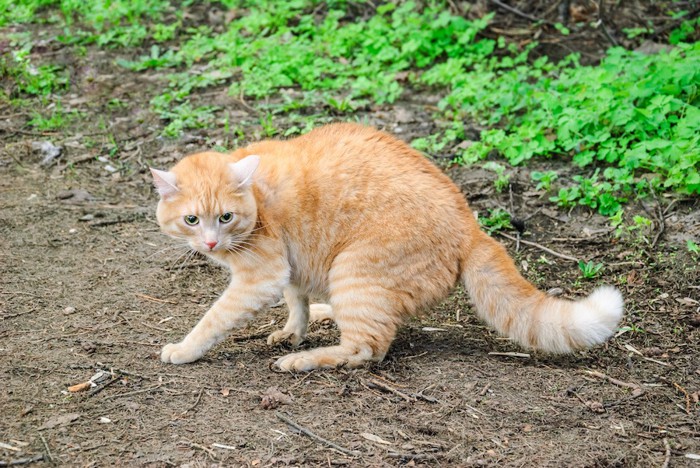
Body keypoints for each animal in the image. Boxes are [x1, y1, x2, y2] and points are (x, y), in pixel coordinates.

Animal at [152, 122, 624, 372]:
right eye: (192, 220)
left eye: (225, 217)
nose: (210, 241)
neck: (260, 202)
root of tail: (470, 223)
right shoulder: (288, 265)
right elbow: (296, 301)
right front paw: (293, 330)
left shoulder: (259, 276)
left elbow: (214, 320)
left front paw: (183, 350)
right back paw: (321, 317)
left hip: (354, 272)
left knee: (366, 348)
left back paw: (303, 360)